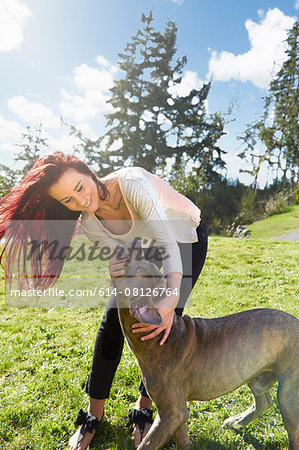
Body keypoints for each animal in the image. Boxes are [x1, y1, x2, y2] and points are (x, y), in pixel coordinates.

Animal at [113, 243, 299, 450]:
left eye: (137, 268)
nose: (135, 243)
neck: (159, 337)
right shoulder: (177, 412)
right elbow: (182, 437)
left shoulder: (171, 412)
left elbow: (148, 443)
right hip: (255, 373)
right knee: (264, 401)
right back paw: (236, 422)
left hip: (288, 393)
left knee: (293, 430)